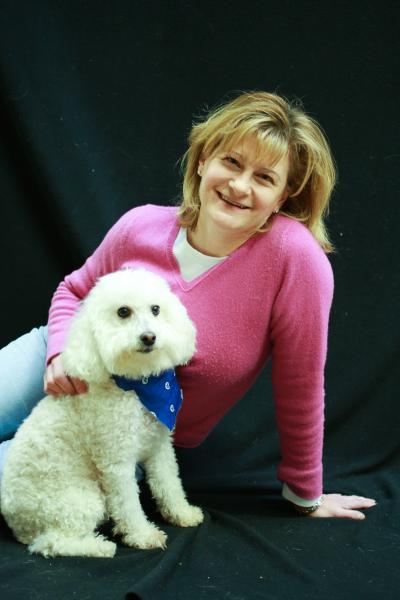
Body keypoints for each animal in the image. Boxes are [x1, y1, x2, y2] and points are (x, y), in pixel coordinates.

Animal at [0, 268, 203, 556]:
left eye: (156, 309)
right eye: (123, 312)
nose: (149, 337)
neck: (136, 386)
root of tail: (16, 523)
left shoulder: (159, 447)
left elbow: (169, 483)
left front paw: (182, 514)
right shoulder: (116, 461)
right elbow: (128, 505)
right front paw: (143, 535)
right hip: (76, 502)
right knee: (51, 542)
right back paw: (99, 547)